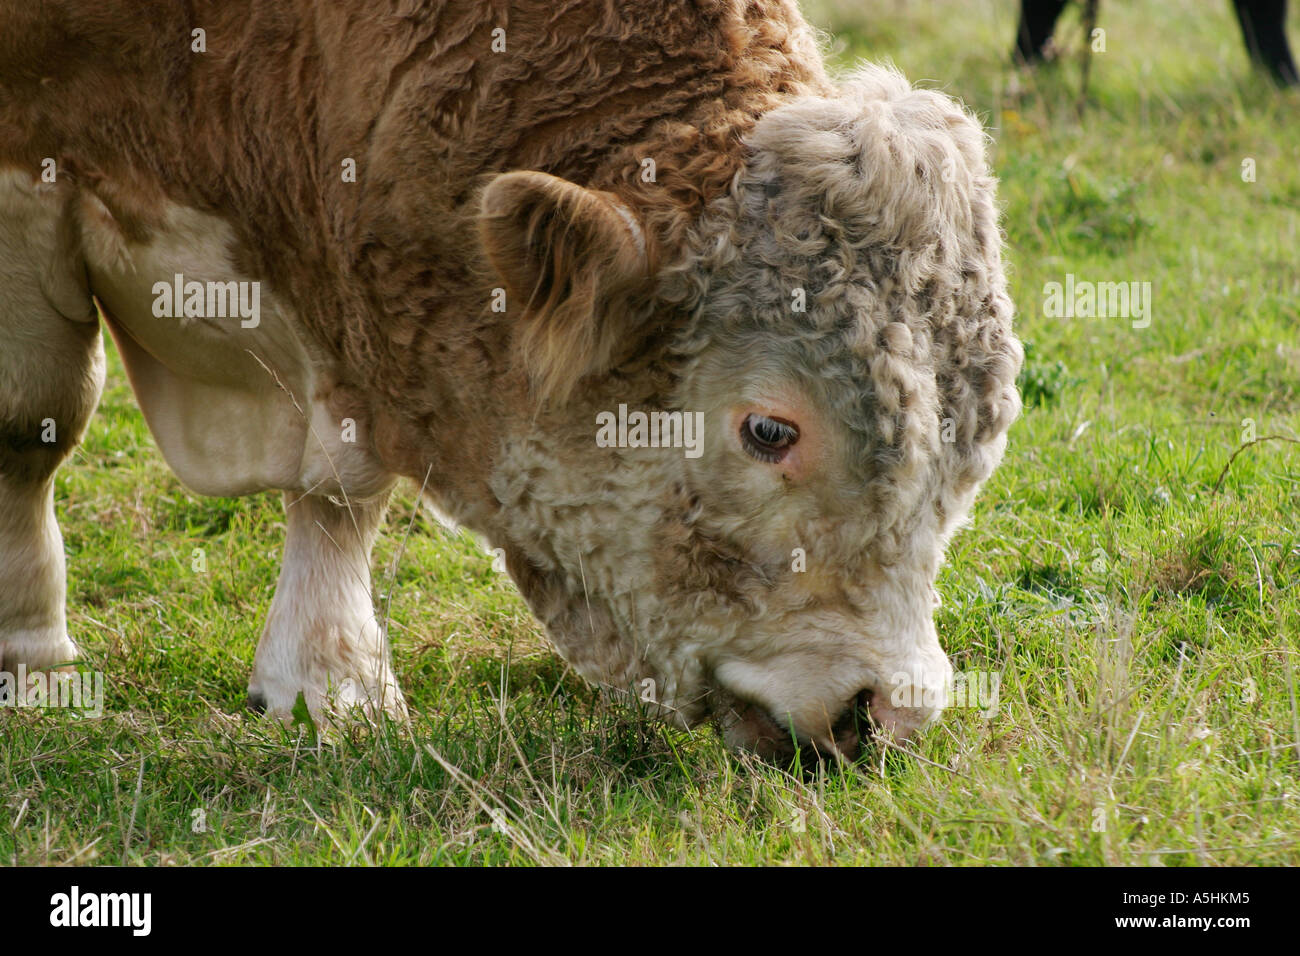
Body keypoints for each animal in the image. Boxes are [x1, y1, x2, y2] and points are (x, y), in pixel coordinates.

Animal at [0, 0, 1022, 761]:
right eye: (769, 430)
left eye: (974, 452)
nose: (891, 712)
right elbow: (32, 422)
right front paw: (33, 666)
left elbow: (345, 493)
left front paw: (333, 681)